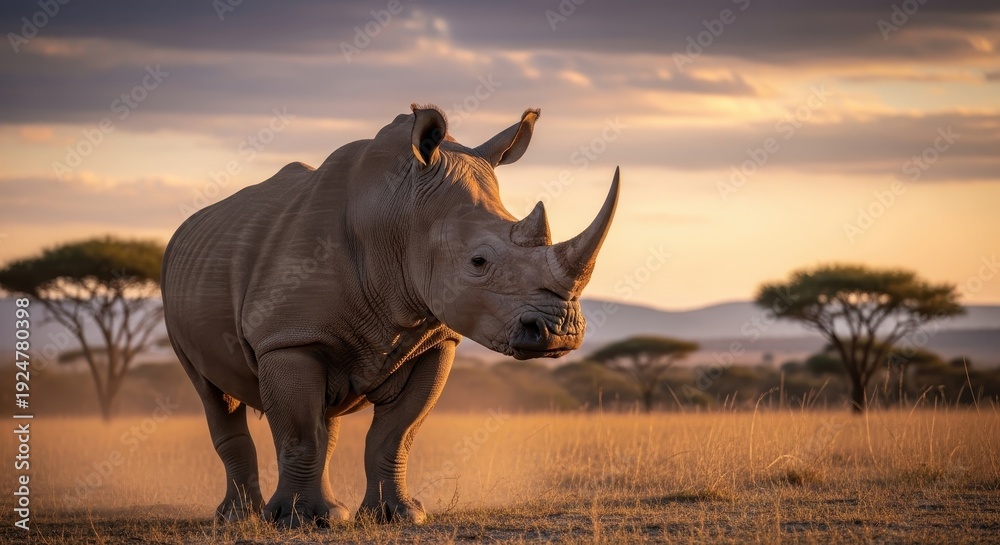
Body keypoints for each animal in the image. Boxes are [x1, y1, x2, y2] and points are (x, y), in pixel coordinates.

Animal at [161, 104, 619, 527]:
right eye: (478, 261)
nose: (560, 332)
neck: (401, 219)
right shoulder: (289, 337)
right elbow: (299, 432)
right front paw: (296, 521)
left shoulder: (434, 342)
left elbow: (396, 434)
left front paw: (399, 515)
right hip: (177, 292)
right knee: (214, 395)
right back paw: (240, 518)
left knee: (325, 419)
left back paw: (332, 514)